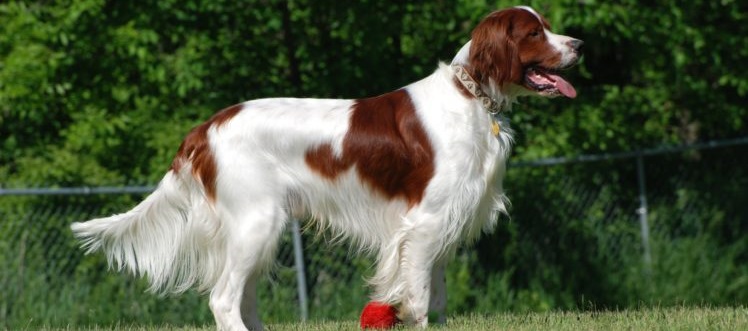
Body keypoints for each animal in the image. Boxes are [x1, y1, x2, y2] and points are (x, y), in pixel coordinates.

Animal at [70, 5, 580, 331]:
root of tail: (205, 128)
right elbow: (417, 297)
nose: (578, 43)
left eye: (547, 26)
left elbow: (435, 297)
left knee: (243, 297)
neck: (470, 96)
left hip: (258, 230)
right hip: (257, 223)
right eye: (534, 33)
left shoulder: (442, 223)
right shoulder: (425, 222)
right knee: (223, 299)